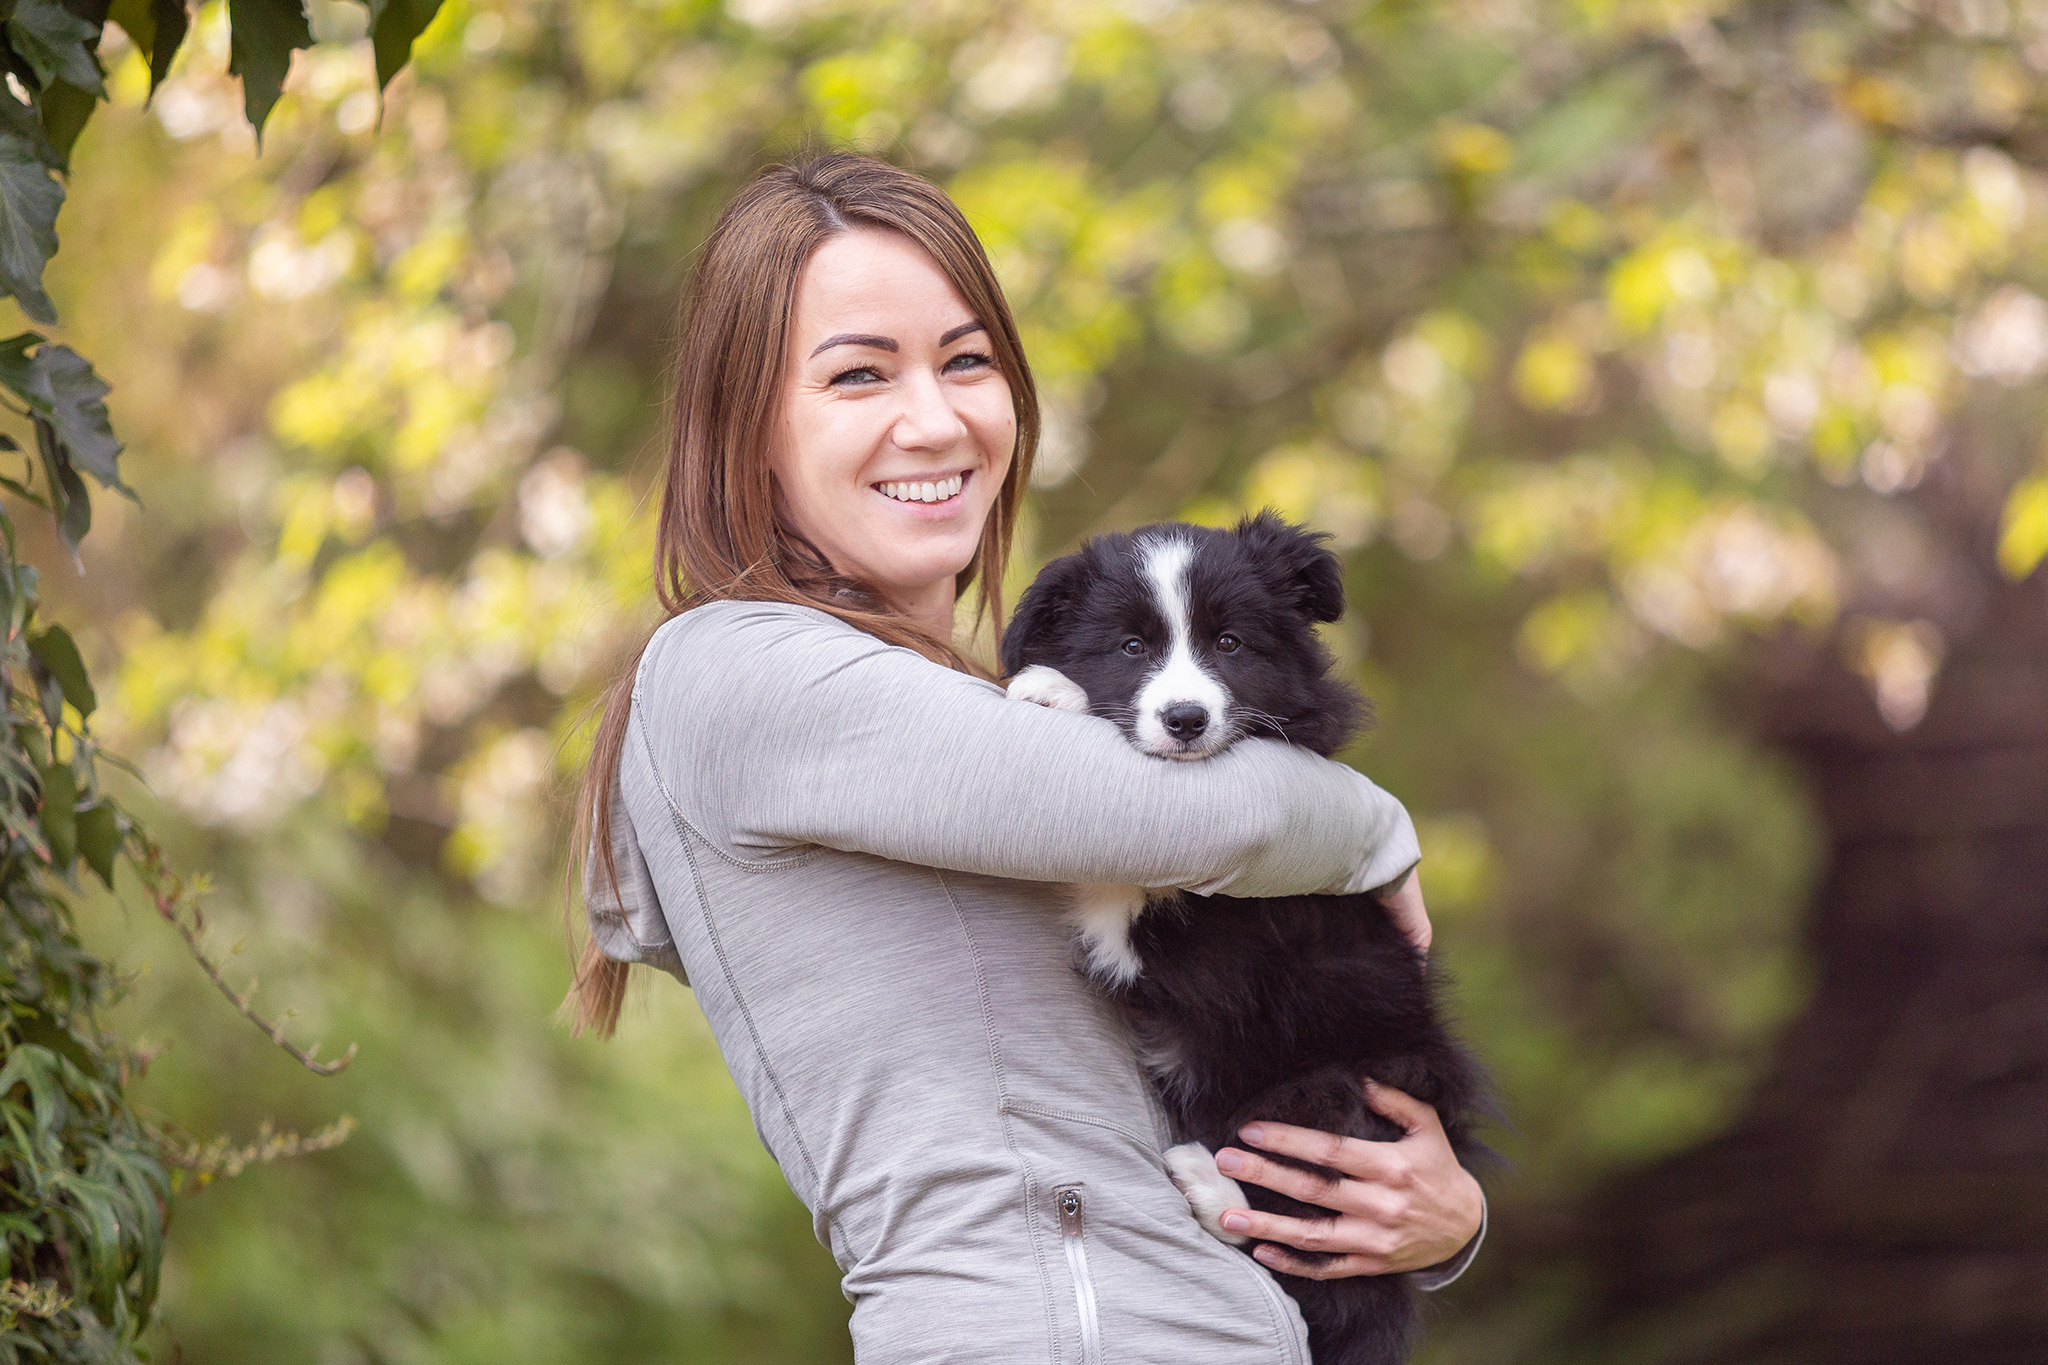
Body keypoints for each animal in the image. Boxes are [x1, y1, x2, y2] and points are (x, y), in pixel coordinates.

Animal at [995, 509, 1490, 1365]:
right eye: (1131, 646)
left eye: (1229, 643)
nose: (1185, 719)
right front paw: (1053, 685)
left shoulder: (1211, 954)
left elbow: (1125, 889)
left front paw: (1051, 690)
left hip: (1331, 1091)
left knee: (1309, 1252)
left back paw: (1205, 1179)